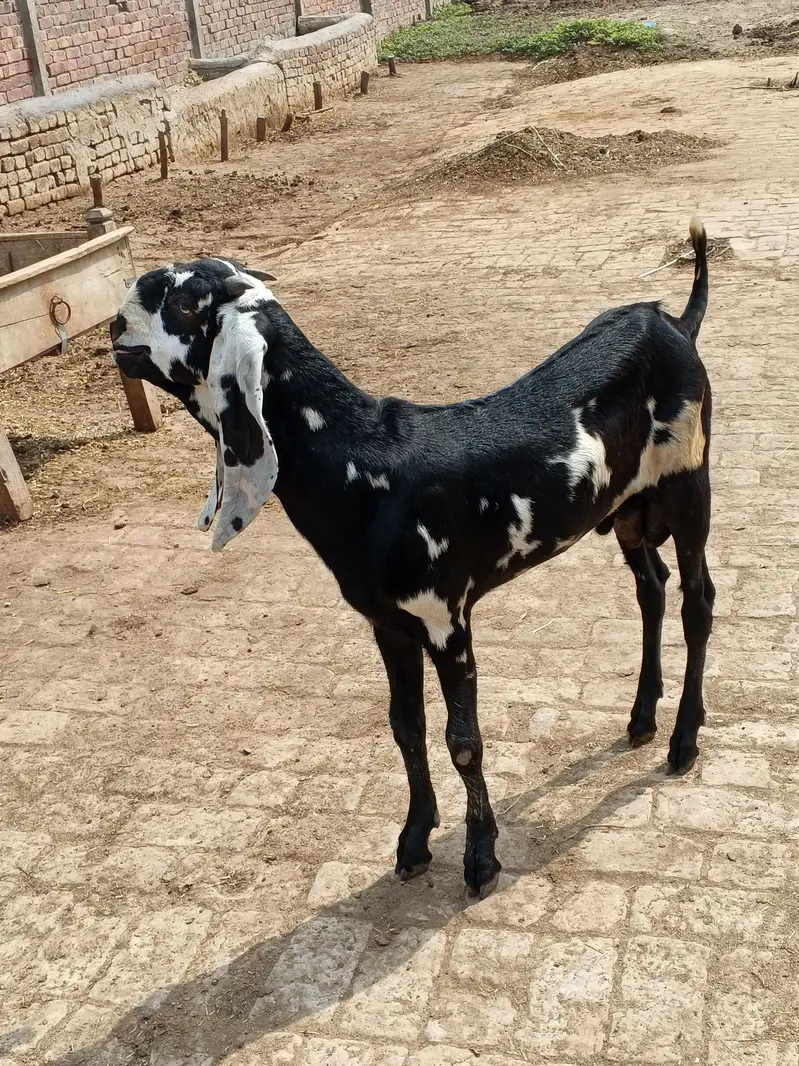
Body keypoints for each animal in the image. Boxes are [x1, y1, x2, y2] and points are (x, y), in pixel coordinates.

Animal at [110, 219, 713, 899]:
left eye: (186, 302)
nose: (116, 320)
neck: (363, 463)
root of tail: (674, 322)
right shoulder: (389, 624)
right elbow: (407, 728)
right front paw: (415, 840)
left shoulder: (447, 618)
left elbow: (464, 741)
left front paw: (481, 858)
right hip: (631, 510)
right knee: (652, 588)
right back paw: (641, 718)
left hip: (689, 485)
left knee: (697, 602)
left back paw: (683, 740)